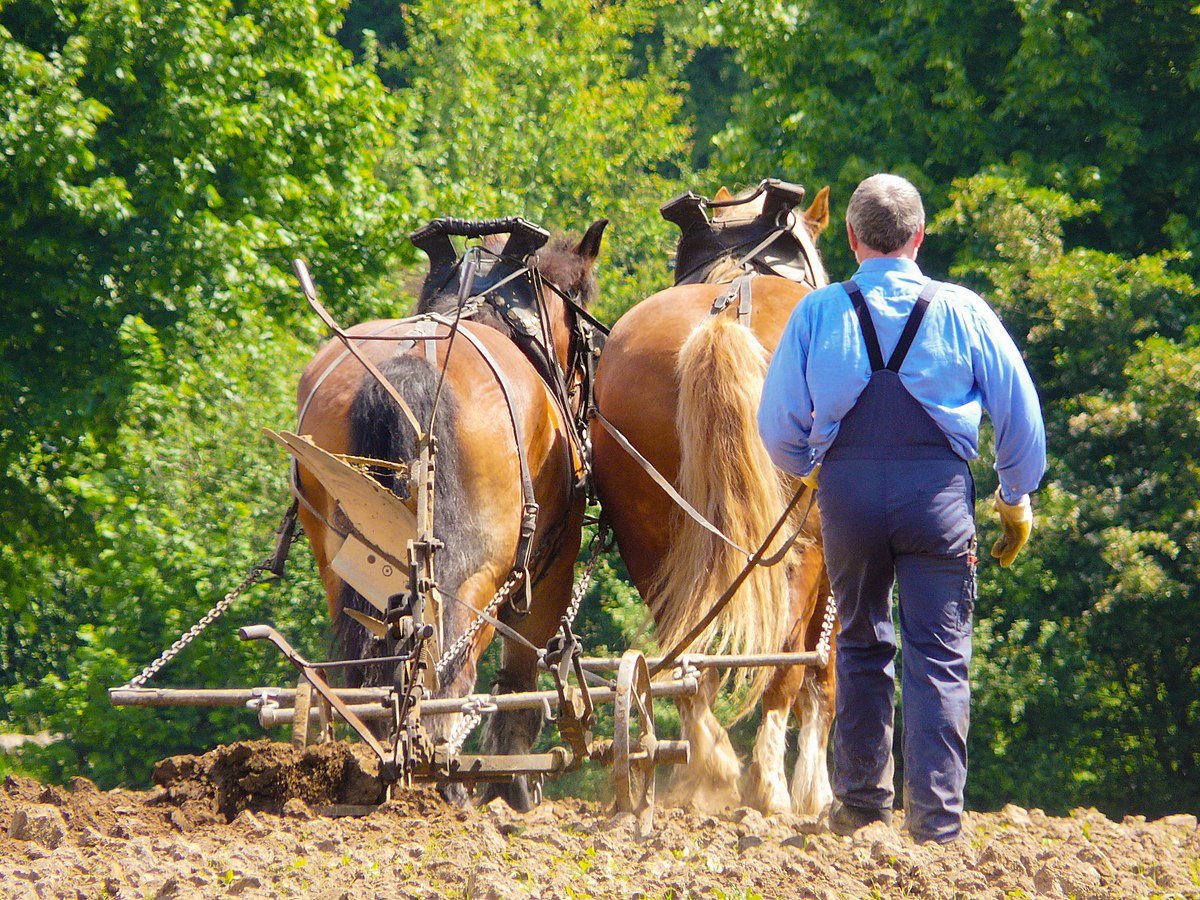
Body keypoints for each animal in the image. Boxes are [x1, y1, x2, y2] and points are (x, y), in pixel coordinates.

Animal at [289, 217, 609, 811]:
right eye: (585, 334)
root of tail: (411, 360)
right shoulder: (551, 566)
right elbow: (520, 681)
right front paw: (515, 785)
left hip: (348, 564)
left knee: (374, 678)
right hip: (475, 575)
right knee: (446, 679)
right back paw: (446, 783)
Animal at [595, 181, 840, 816]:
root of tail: (724, 317)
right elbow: (822, 674)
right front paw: (815, 793)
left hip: (649, 538)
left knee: (680, 655)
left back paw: (708, 765)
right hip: (798, 541)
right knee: (783, 662)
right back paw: (770, 788)